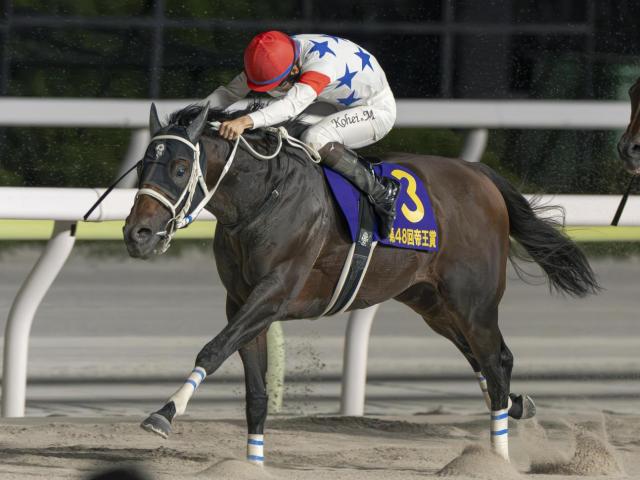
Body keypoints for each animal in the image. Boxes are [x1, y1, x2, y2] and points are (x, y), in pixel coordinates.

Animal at [123, 102, 599, 465]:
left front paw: (164, 413)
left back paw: (498, 457)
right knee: (491, 360)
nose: (137, 234)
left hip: (473, 302)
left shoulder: (274, 293)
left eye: (180, 167)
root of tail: (480, 175)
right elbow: (255, 390)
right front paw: (251, 464)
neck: (265, 195)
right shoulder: (240, 300)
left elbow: (213, 348)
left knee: (495, 363)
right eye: (144, 165)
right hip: (433, 304)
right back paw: (519, 406)